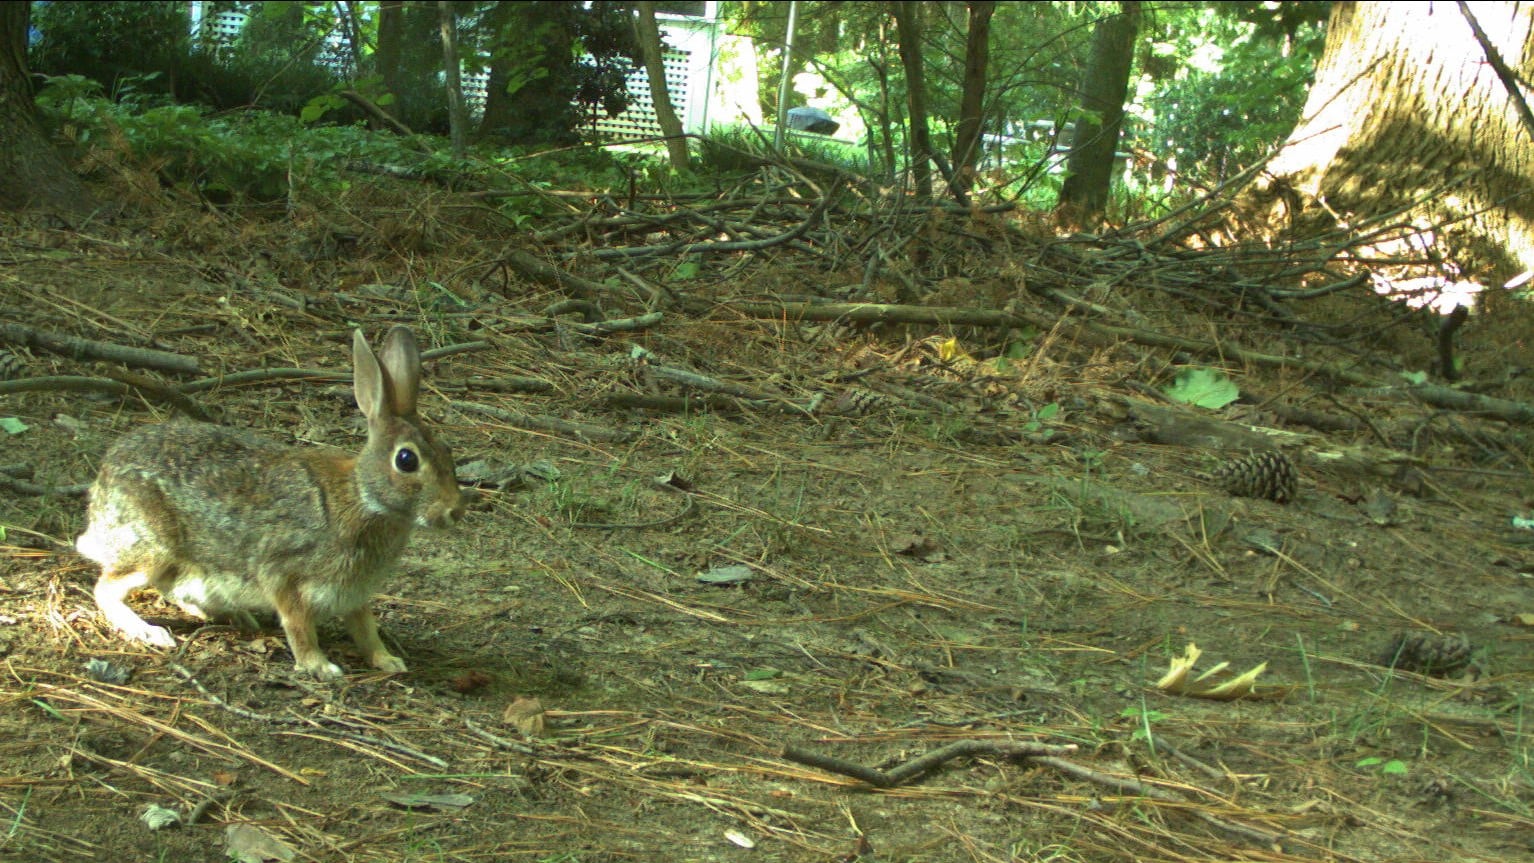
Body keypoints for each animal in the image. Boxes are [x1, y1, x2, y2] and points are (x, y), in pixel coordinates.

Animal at [76, 328, 466, 677]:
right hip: (151, 547)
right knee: (106, 589)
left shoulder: (354, 595)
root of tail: (101, 491)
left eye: (448, 451)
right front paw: (319, 667)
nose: (454, 511)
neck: (362, 497)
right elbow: (298, 626)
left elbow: (366, 630)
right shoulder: (284, 575)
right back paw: (149, 631)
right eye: (406, 460)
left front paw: (388, 661)